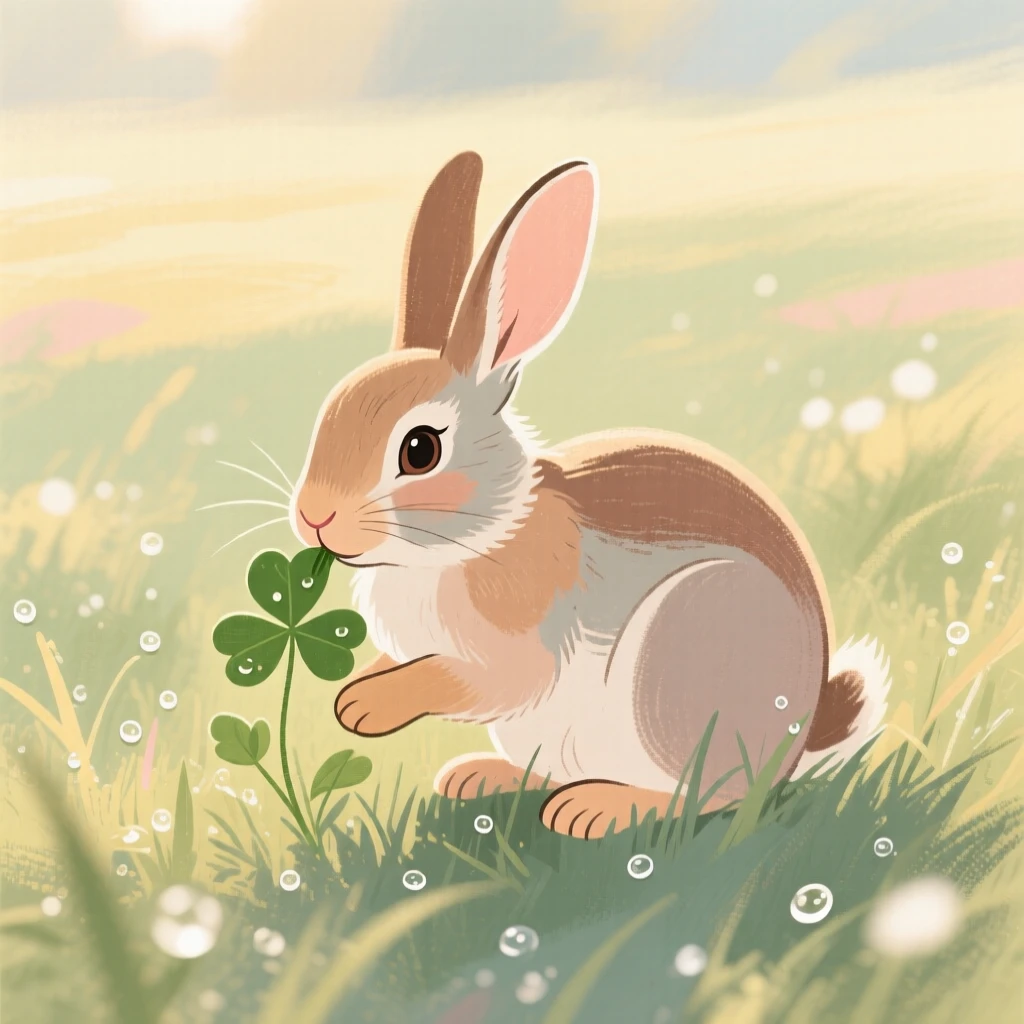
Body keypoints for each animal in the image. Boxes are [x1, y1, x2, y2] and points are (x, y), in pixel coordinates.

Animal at [290, 151, 891, 838]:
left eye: (420, 450)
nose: (313, 516)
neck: (480, 535)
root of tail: (801, 729)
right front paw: (356, 692)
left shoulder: (511, 661)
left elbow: (453, 679)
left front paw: (366, 705)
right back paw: (479, 778)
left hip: (675, 666)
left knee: (707, 797)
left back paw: (591, 810)